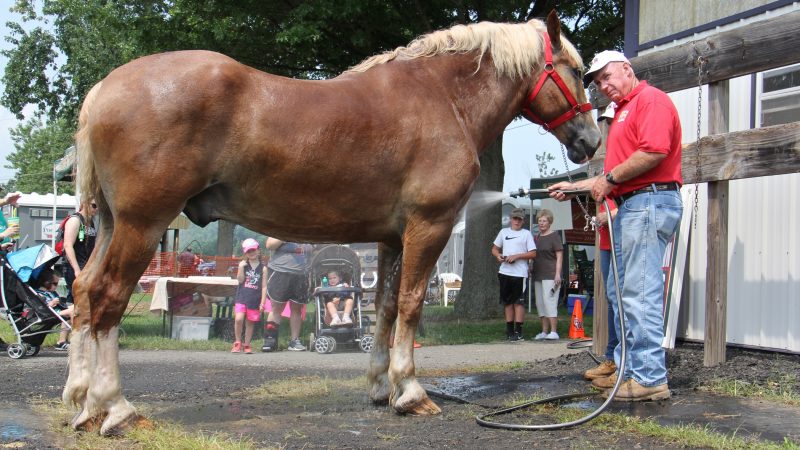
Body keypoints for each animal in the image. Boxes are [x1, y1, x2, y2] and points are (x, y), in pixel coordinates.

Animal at [66, 11, 600, 434]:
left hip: (112, 224)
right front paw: (411, 392)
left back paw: (82, 402)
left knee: (83, 292)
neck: (443, 97)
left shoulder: (392, 237)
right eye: (577, 71)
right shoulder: (429, 226)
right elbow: (411, 304)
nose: (592, 140)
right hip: (142, 225)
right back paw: (114, 409)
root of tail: (104, 89)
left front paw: (382, 386)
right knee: (108, 299)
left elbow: (385, 306)